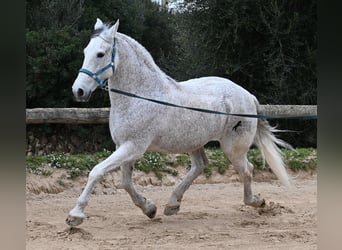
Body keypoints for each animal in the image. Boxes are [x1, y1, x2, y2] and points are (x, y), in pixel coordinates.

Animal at [66, 19, 292, 227]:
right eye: (86, 51)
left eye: (100, 54)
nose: (79, 91)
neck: (140, 96)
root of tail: (248, 96)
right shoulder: (123, 146)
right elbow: (126, 183)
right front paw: (149, 208)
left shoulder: (134, 147)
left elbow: (97, 171)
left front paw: (75, 216)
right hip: (193, 141)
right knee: (201, 165)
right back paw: (172, 204)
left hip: (232, 148)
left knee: (247, 170)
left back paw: (257, 202)